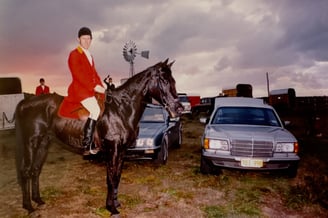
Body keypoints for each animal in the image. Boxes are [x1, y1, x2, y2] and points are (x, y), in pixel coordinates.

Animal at [15, 58, 183, 215]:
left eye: (173, 80)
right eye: (164, 80)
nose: (179, 109)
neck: (121, 109)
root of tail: (25, 103)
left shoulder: (122, 150)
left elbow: (117, 177)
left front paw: (116, 203)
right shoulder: (112, 149)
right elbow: (111, 178)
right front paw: (111, 208)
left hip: (44, 143)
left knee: (36, 169)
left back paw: (38, 200)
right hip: (31, 142)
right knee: (27, 171)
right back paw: (29, 206)